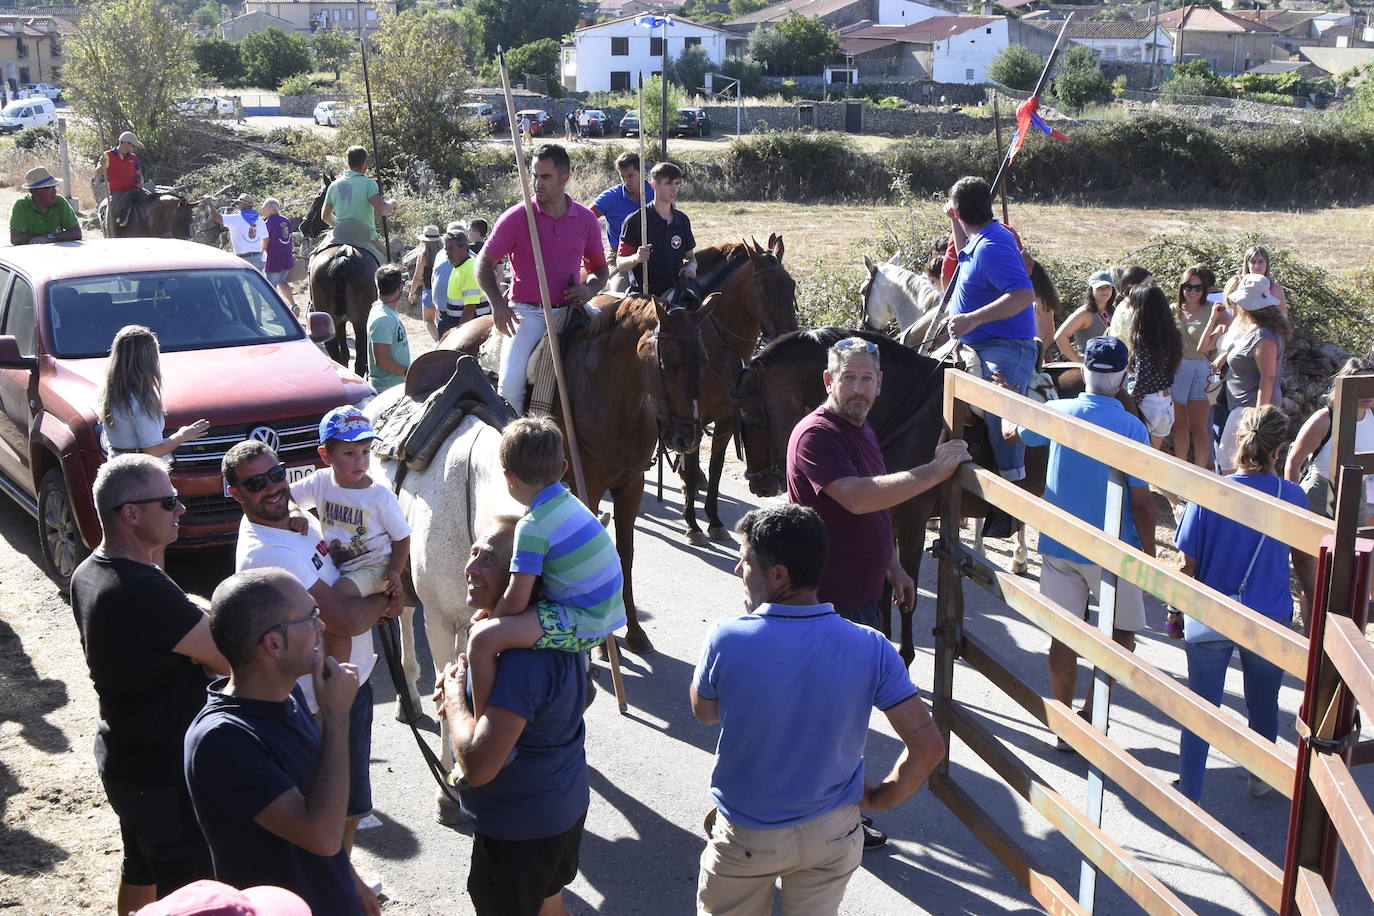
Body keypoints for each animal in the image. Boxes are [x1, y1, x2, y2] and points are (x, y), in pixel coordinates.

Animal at [300, 173, 376, 379]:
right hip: (357, 320)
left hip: (333, 318)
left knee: (340, 355)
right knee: (355, 358)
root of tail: (343, 254)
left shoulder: (339, 321)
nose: (303, 226)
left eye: (318, 198)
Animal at [673, 236, 796, 549]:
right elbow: (693, 463)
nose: (789, 336)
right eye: (766, 287)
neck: (716, 346)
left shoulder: (727, 420)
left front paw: (714, 521)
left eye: (791, 285)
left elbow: (715, 467)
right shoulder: (693, 421)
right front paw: (692, 525)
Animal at [736, 329, 1044, 667]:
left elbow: (907, 590)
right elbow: (884, 585)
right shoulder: (887, 514)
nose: (757, 484)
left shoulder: (912, 519)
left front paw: (905, 655)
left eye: (754, 420)